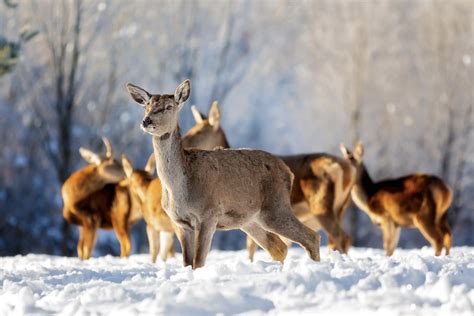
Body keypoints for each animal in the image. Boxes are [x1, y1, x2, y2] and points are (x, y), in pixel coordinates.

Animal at [126, 79, 320, 270]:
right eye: (146, 106)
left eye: (169, 106)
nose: (146, 120)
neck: (180, 188)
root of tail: (288, 172)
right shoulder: (179, 223)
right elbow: (187, 263)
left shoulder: (208, 214)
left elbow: (198, 262)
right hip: (250, 220)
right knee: (279, 248)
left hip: (275, 206)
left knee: (311, 236)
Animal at [185, 102, 356, 260]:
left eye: (198, 131)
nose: (184, 142)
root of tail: (349, 170)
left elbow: (252, 245)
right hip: (340, 208)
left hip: (321, 205)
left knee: (340, 237)